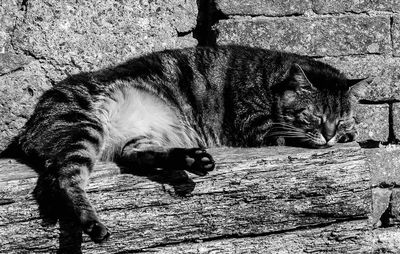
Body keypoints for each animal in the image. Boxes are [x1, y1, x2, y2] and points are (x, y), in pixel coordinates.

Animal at [0, 44, 368, 243]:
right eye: (314, 117)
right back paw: (93, 223)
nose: (332, 133)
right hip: (82, 125)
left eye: (341, 118)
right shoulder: (256, 128)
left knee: (138, 156)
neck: (270, 79)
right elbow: (289, 135)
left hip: (135, 138)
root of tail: (28, 128)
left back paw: (193, 162)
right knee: (65, 179)